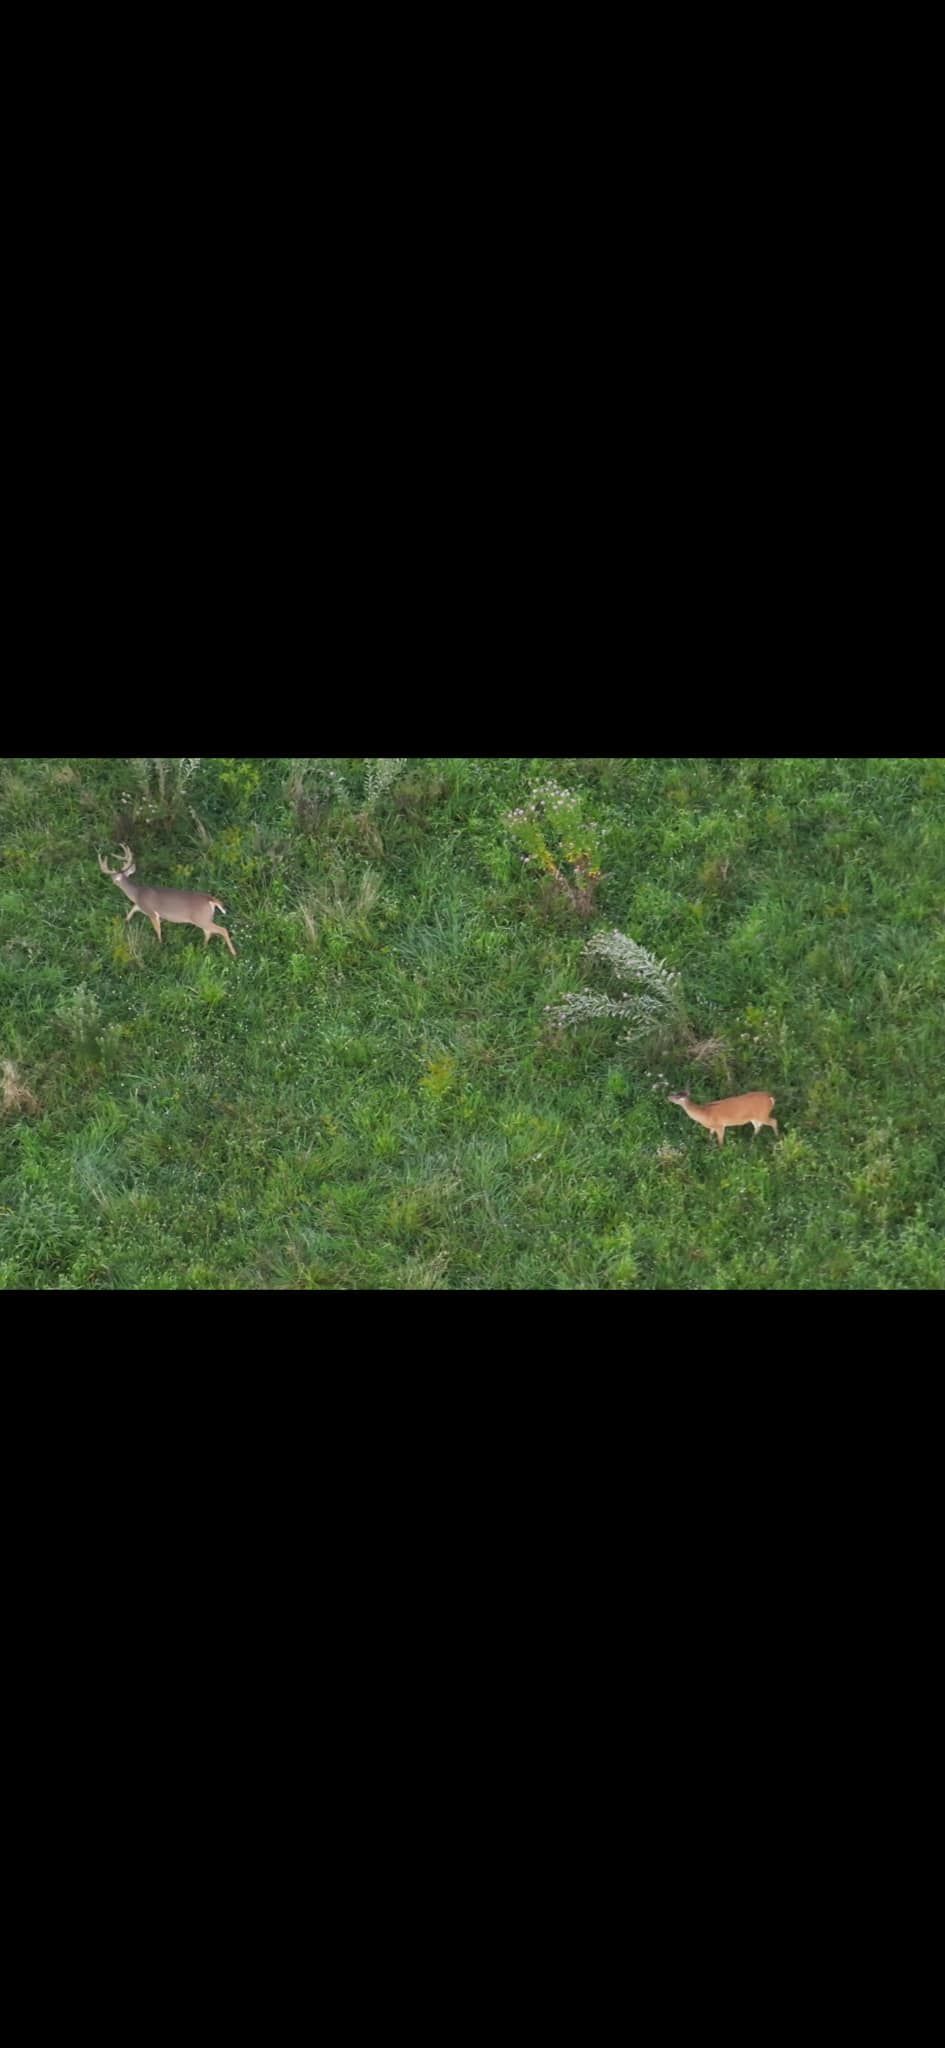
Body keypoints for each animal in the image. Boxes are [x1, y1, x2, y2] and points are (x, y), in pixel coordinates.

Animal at [97, 844, 236, 957]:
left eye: (114, 879)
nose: (110, 882)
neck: (137, 893)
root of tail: (210, 899)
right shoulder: (140, 906)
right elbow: (132, 910)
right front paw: (125, 922)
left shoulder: (151, 911)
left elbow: (157, 928)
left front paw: (160, 943)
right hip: (204, 919)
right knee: (208, 932)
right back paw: (204, 947)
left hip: (201, 918)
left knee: (222, 930)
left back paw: (233, 953)